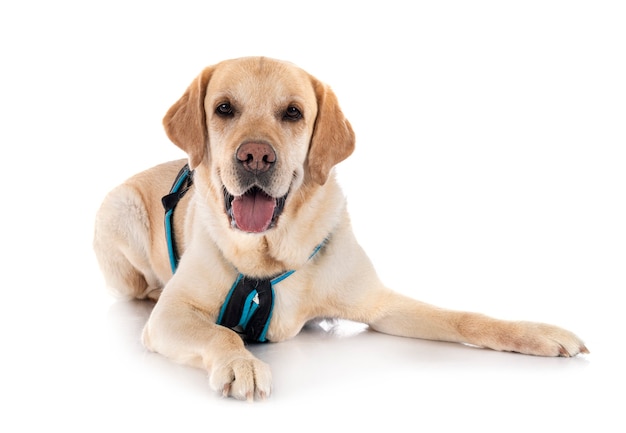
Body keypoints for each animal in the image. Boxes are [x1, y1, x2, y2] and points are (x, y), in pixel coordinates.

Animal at [92, 55, 584, 400]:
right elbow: (221, 331)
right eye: (224, 108)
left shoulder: (379, 303)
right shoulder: (171, 315)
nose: (256, 156)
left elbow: (464, 317)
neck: (269, 252)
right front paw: (240, 363)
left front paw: (537, 334)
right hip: (120, 210)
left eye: (293, 113)